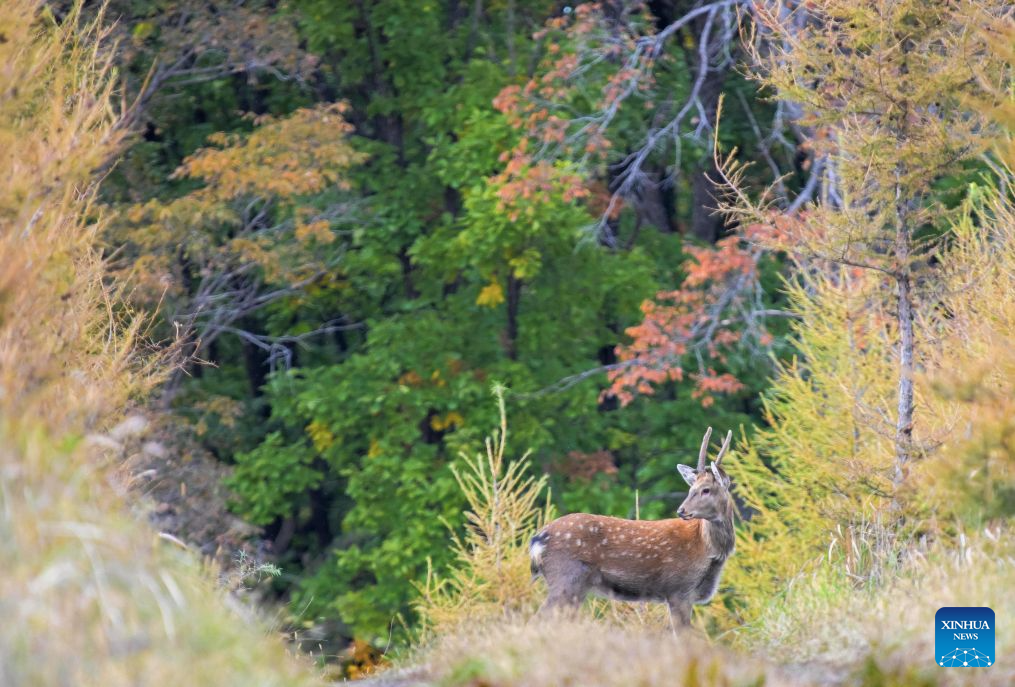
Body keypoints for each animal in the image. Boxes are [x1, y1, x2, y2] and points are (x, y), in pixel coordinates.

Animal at [529, 427, 735, 629]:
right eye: (692, 489)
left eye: (706, 489)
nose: (681, 510)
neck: (707, 550)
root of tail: (538, 540)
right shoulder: (678, 589)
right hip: (565, 577)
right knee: (539, 618)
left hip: (574, 587)